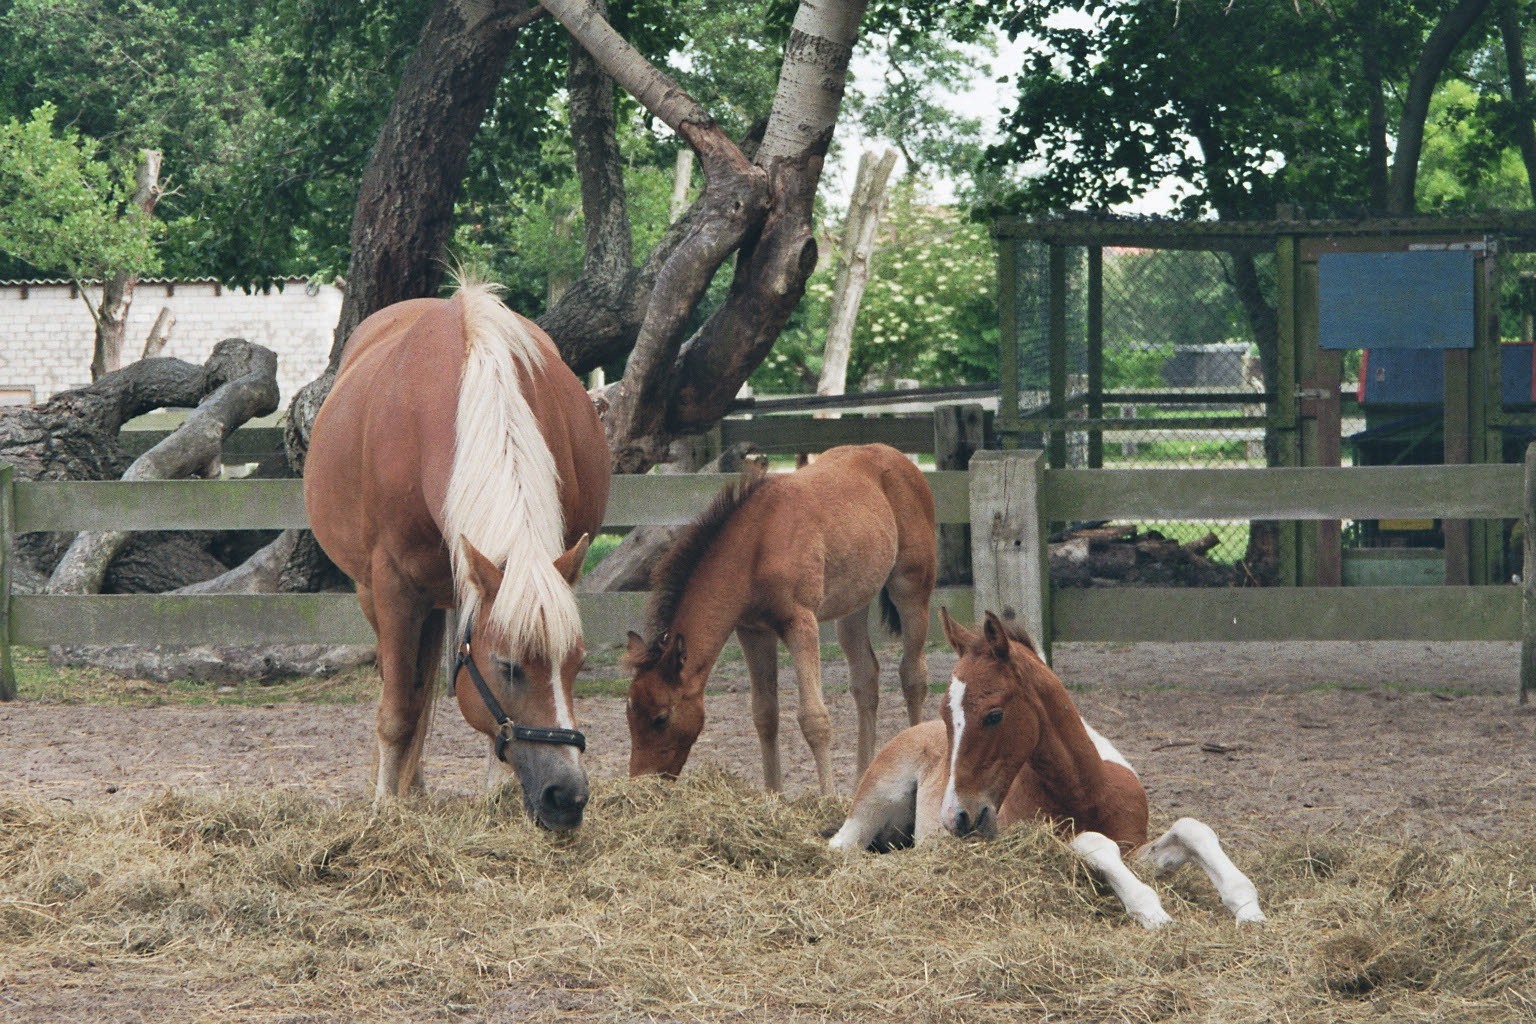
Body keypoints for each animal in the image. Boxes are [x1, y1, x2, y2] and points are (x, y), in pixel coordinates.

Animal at [302, 282, 608, 835]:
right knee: (405, 689)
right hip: (378, 595)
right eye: (508, 667)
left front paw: (495, 795)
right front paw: (385, 807)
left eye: (577, 662)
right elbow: (398, 711)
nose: (566, 797)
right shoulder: (395, 588)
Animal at [623, 445, 933, 798]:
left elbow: (814, 718)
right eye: (629, 713)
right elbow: (765, 715)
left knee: (913, 675)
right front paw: (774, 795)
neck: (757, 546)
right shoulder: (752, 631)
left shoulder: (801, 624)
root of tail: (897, 456)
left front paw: (827, 799)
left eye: (661, 718)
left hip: (911, 589)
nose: (640, 781)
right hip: (853, 604)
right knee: (866, 678)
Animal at [829, 614, 1259, 933]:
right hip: (875, 800)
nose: (955, 817)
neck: (1086, 791)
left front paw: (1248, 907)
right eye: (945, 715)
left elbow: (1192, 829)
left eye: (994, 715)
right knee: (841, 846)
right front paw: (1152, 911)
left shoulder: (1134, 848)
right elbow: (1093, 844)